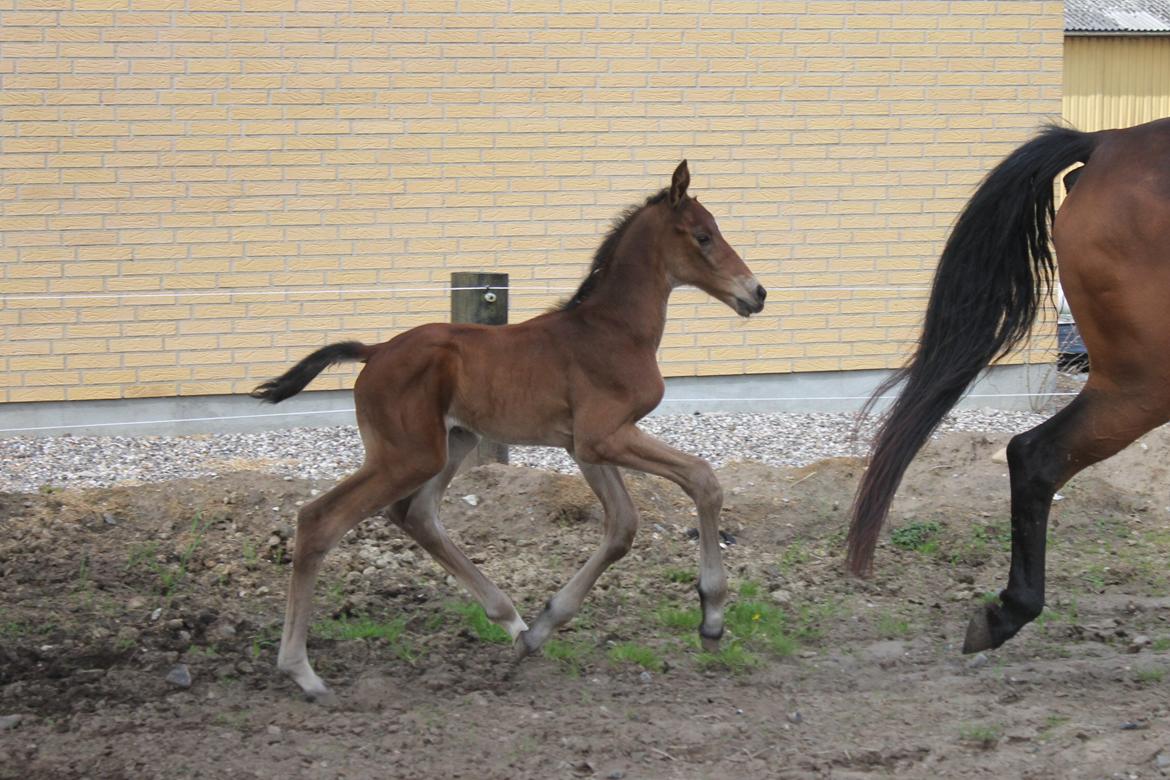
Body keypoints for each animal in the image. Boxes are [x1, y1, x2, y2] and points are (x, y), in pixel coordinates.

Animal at [251, 161, 767, 696]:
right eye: (703, 236)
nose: (756, 293)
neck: (612, 330)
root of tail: (374, 351)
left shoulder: (585, 447)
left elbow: (623, 527)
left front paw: (542, 628)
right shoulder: (606, 436)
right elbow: (703, 479)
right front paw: (712, 618)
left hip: (454, 441)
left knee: (418, 516)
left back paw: (513, 622)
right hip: (408, 455)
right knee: (320, 520)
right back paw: (301, 671)